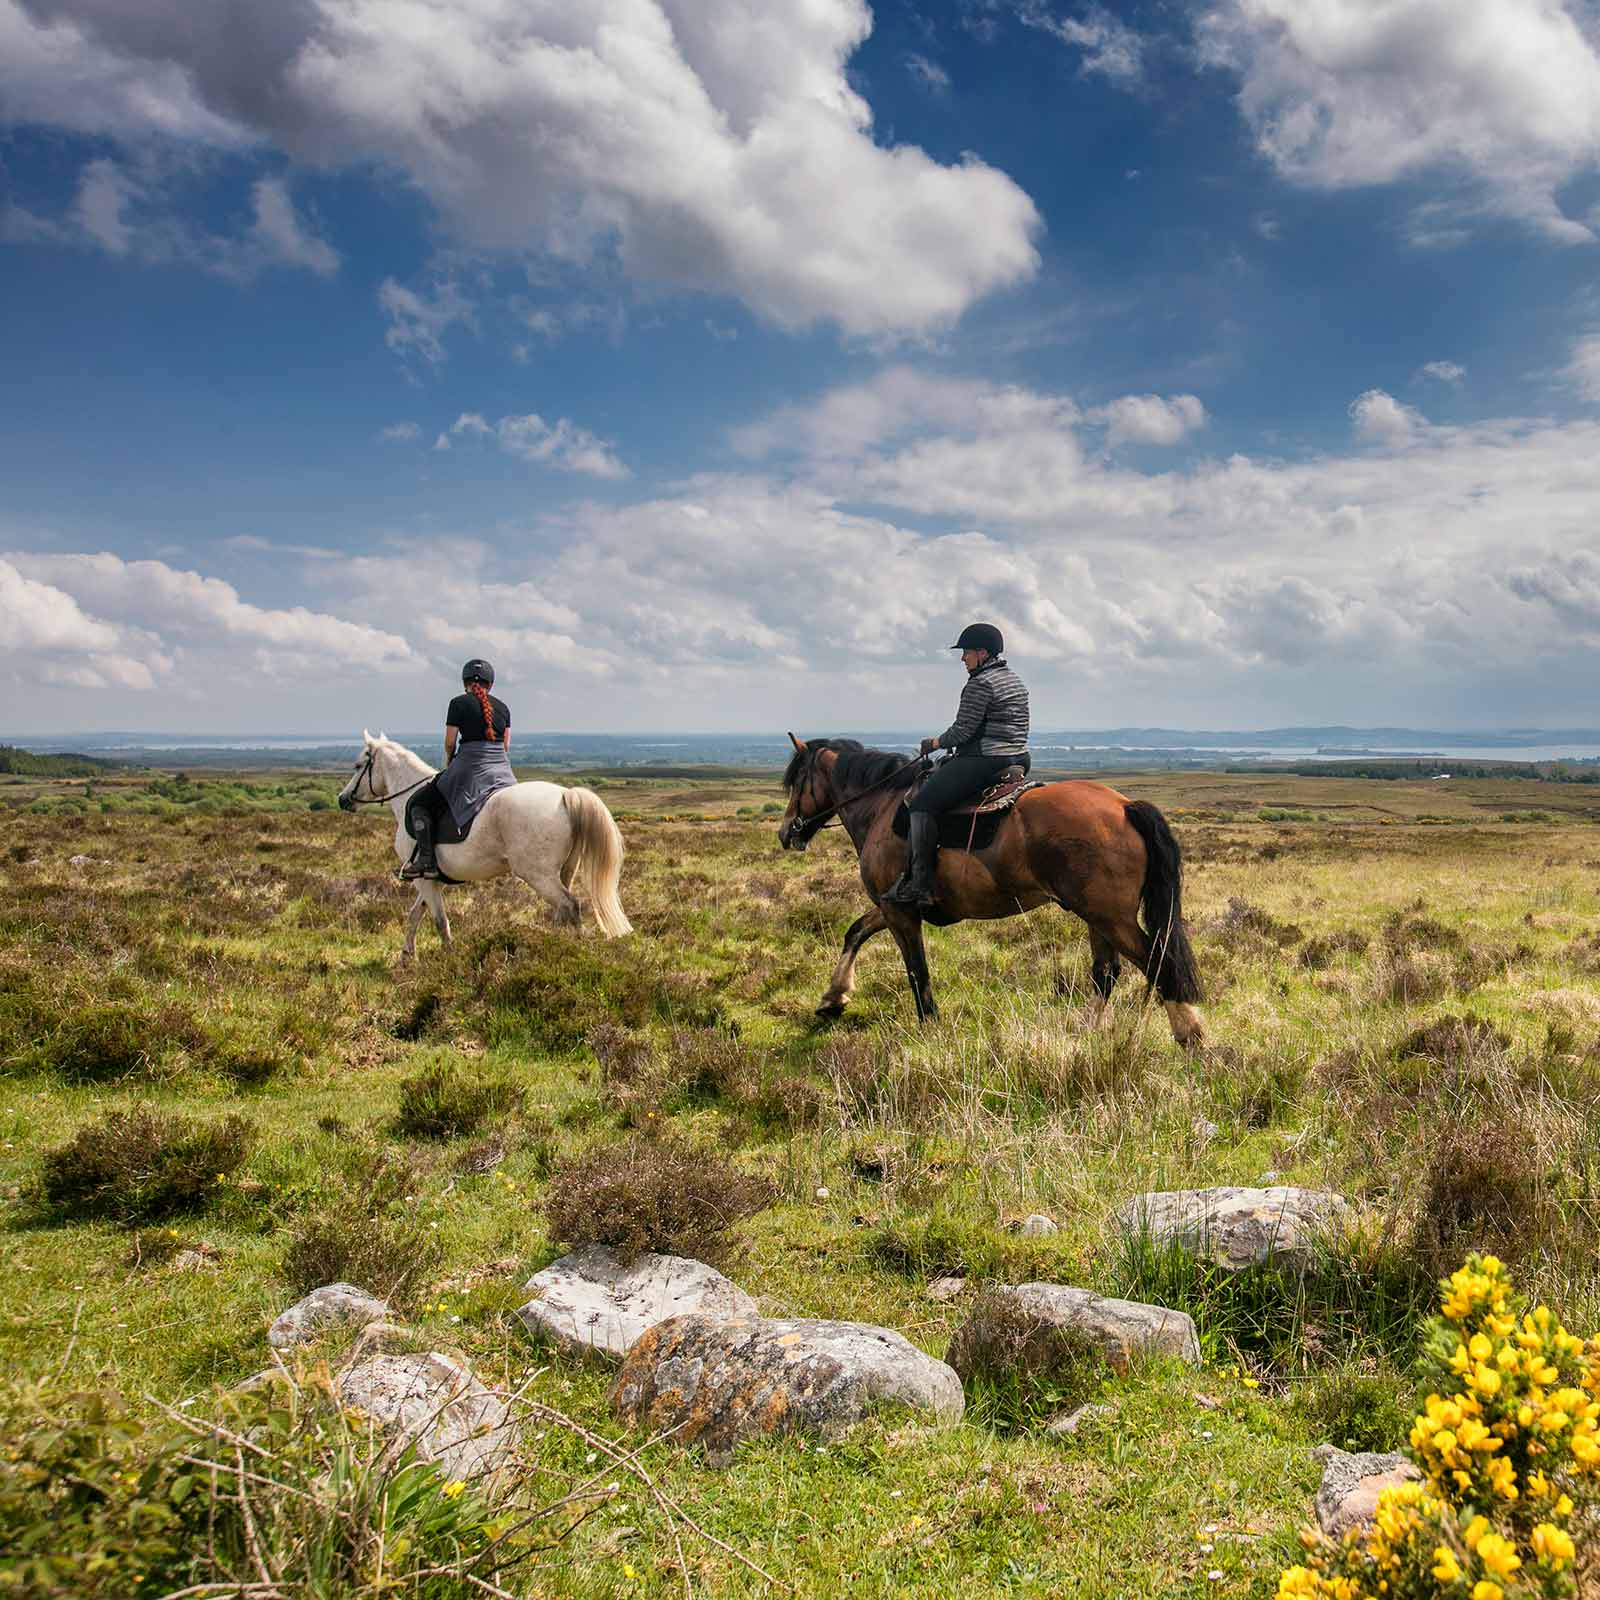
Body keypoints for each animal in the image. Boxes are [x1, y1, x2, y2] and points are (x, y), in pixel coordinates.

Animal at [337, 732, 630, 953]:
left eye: (357, 766)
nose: (342, 799)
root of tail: (566, 795)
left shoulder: (422, 876)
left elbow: (439, 921)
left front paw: (448, 959)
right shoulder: (429, 878)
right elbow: (415, 914)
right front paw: (406, 956)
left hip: (537, 873)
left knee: (569, 905)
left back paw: (571, 951)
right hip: (563, 870)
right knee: (563, 910)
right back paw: (553, 944)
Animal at [774, 739, 1203, 1049]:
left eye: (796, 782)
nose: (786, 832)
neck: (883, 807)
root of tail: (1125, 805)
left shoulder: (900, 912)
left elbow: (916, 969)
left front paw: (929, 1029)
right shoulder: (890, 903)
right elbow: (856, 931)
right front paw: (833, 998)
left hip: (1111, 917)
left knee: (1157, 963)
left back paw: (1190, 1037)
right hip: (1097, 916)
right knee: (1106, 972)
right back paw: (1083, 1032)